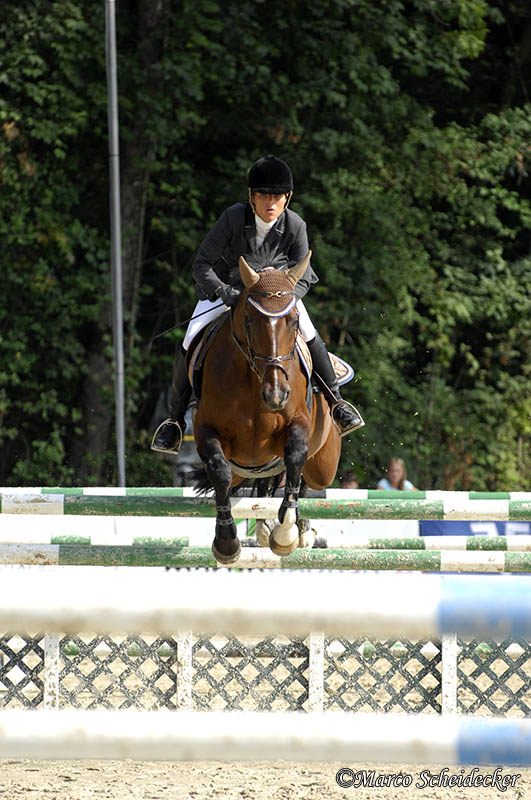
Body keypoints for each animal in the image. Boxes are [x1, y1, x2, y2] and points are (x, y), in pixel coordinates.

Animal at [192, 251, 341, 564]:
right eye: (250, 321)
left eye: (294, 321)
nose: (276, 395)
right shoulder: (206, 430)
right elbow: (220, 472)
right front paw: (227, 543)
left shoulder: (297, 424)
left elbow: (296, 456)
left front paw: (286, 533)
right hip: (248, 467)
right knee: (257, 486)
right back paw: (263, 528)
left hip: (324, 465)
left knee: (305, 477)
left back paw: (302, 531)